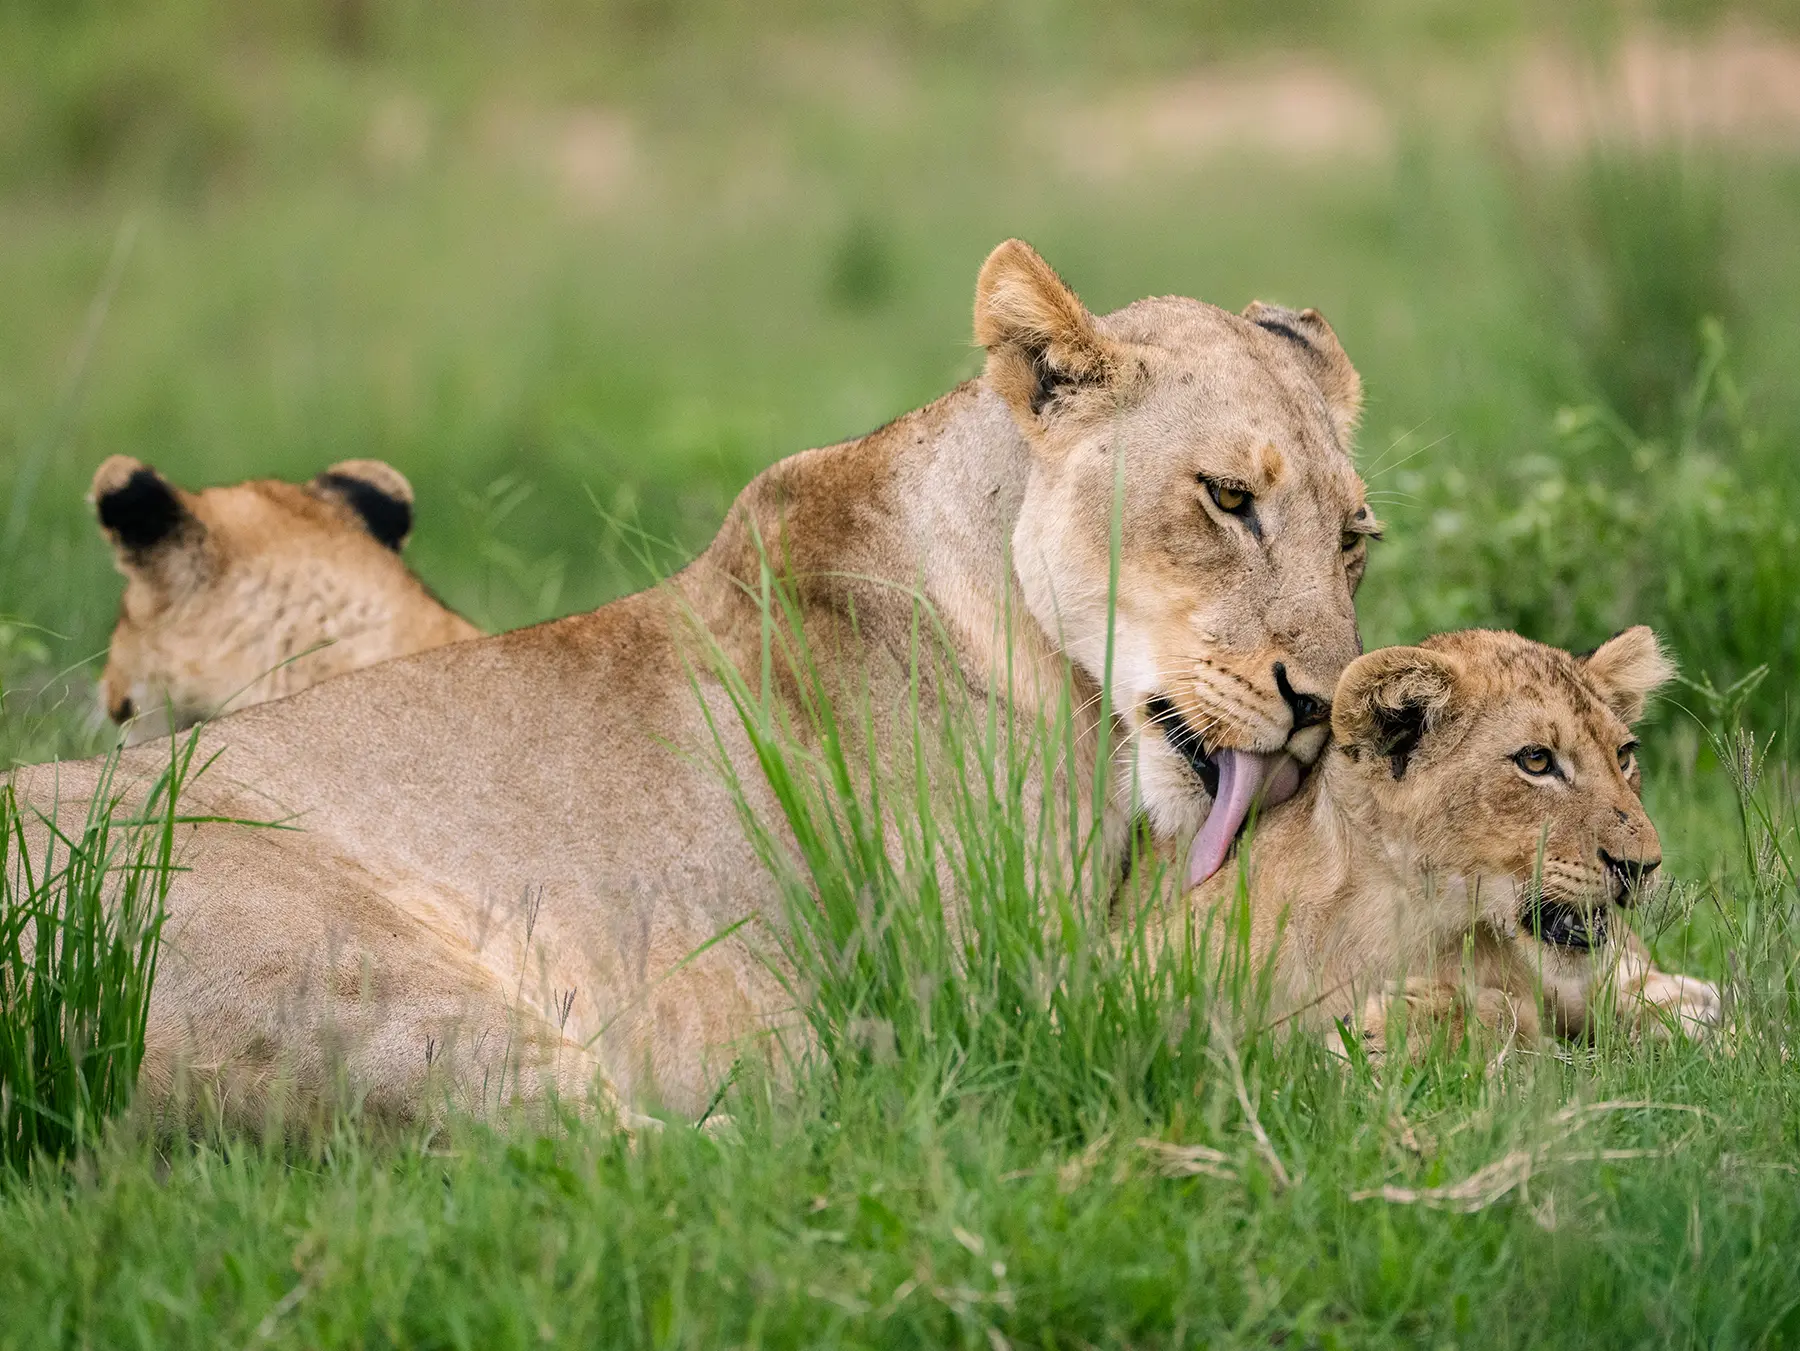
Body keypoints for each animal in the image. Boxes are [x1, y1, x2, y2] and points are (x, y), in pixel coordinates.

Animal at [1171, 626, 1722, 1052]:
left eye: (1623, 756)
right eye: (1536, 760)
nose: (1642, 866)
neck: (1409, 924)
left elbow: (1507, 1011)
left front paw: (1379, 1030)